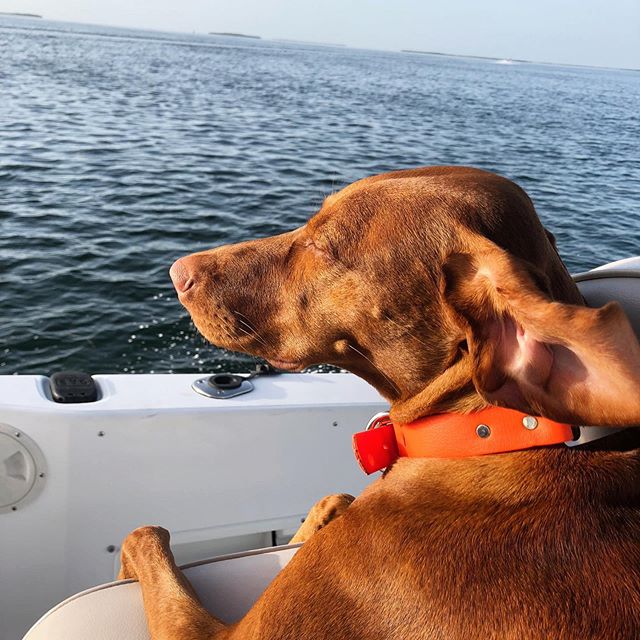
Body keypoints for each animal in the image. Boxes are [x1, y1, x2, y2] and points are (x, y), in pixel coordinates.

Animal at [119, 166, 640, 639]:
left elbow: (147, 538)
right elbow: (333, 496)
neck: (484, 436)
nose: (177, 272)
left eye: (322, 247)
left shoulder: (227, 633)